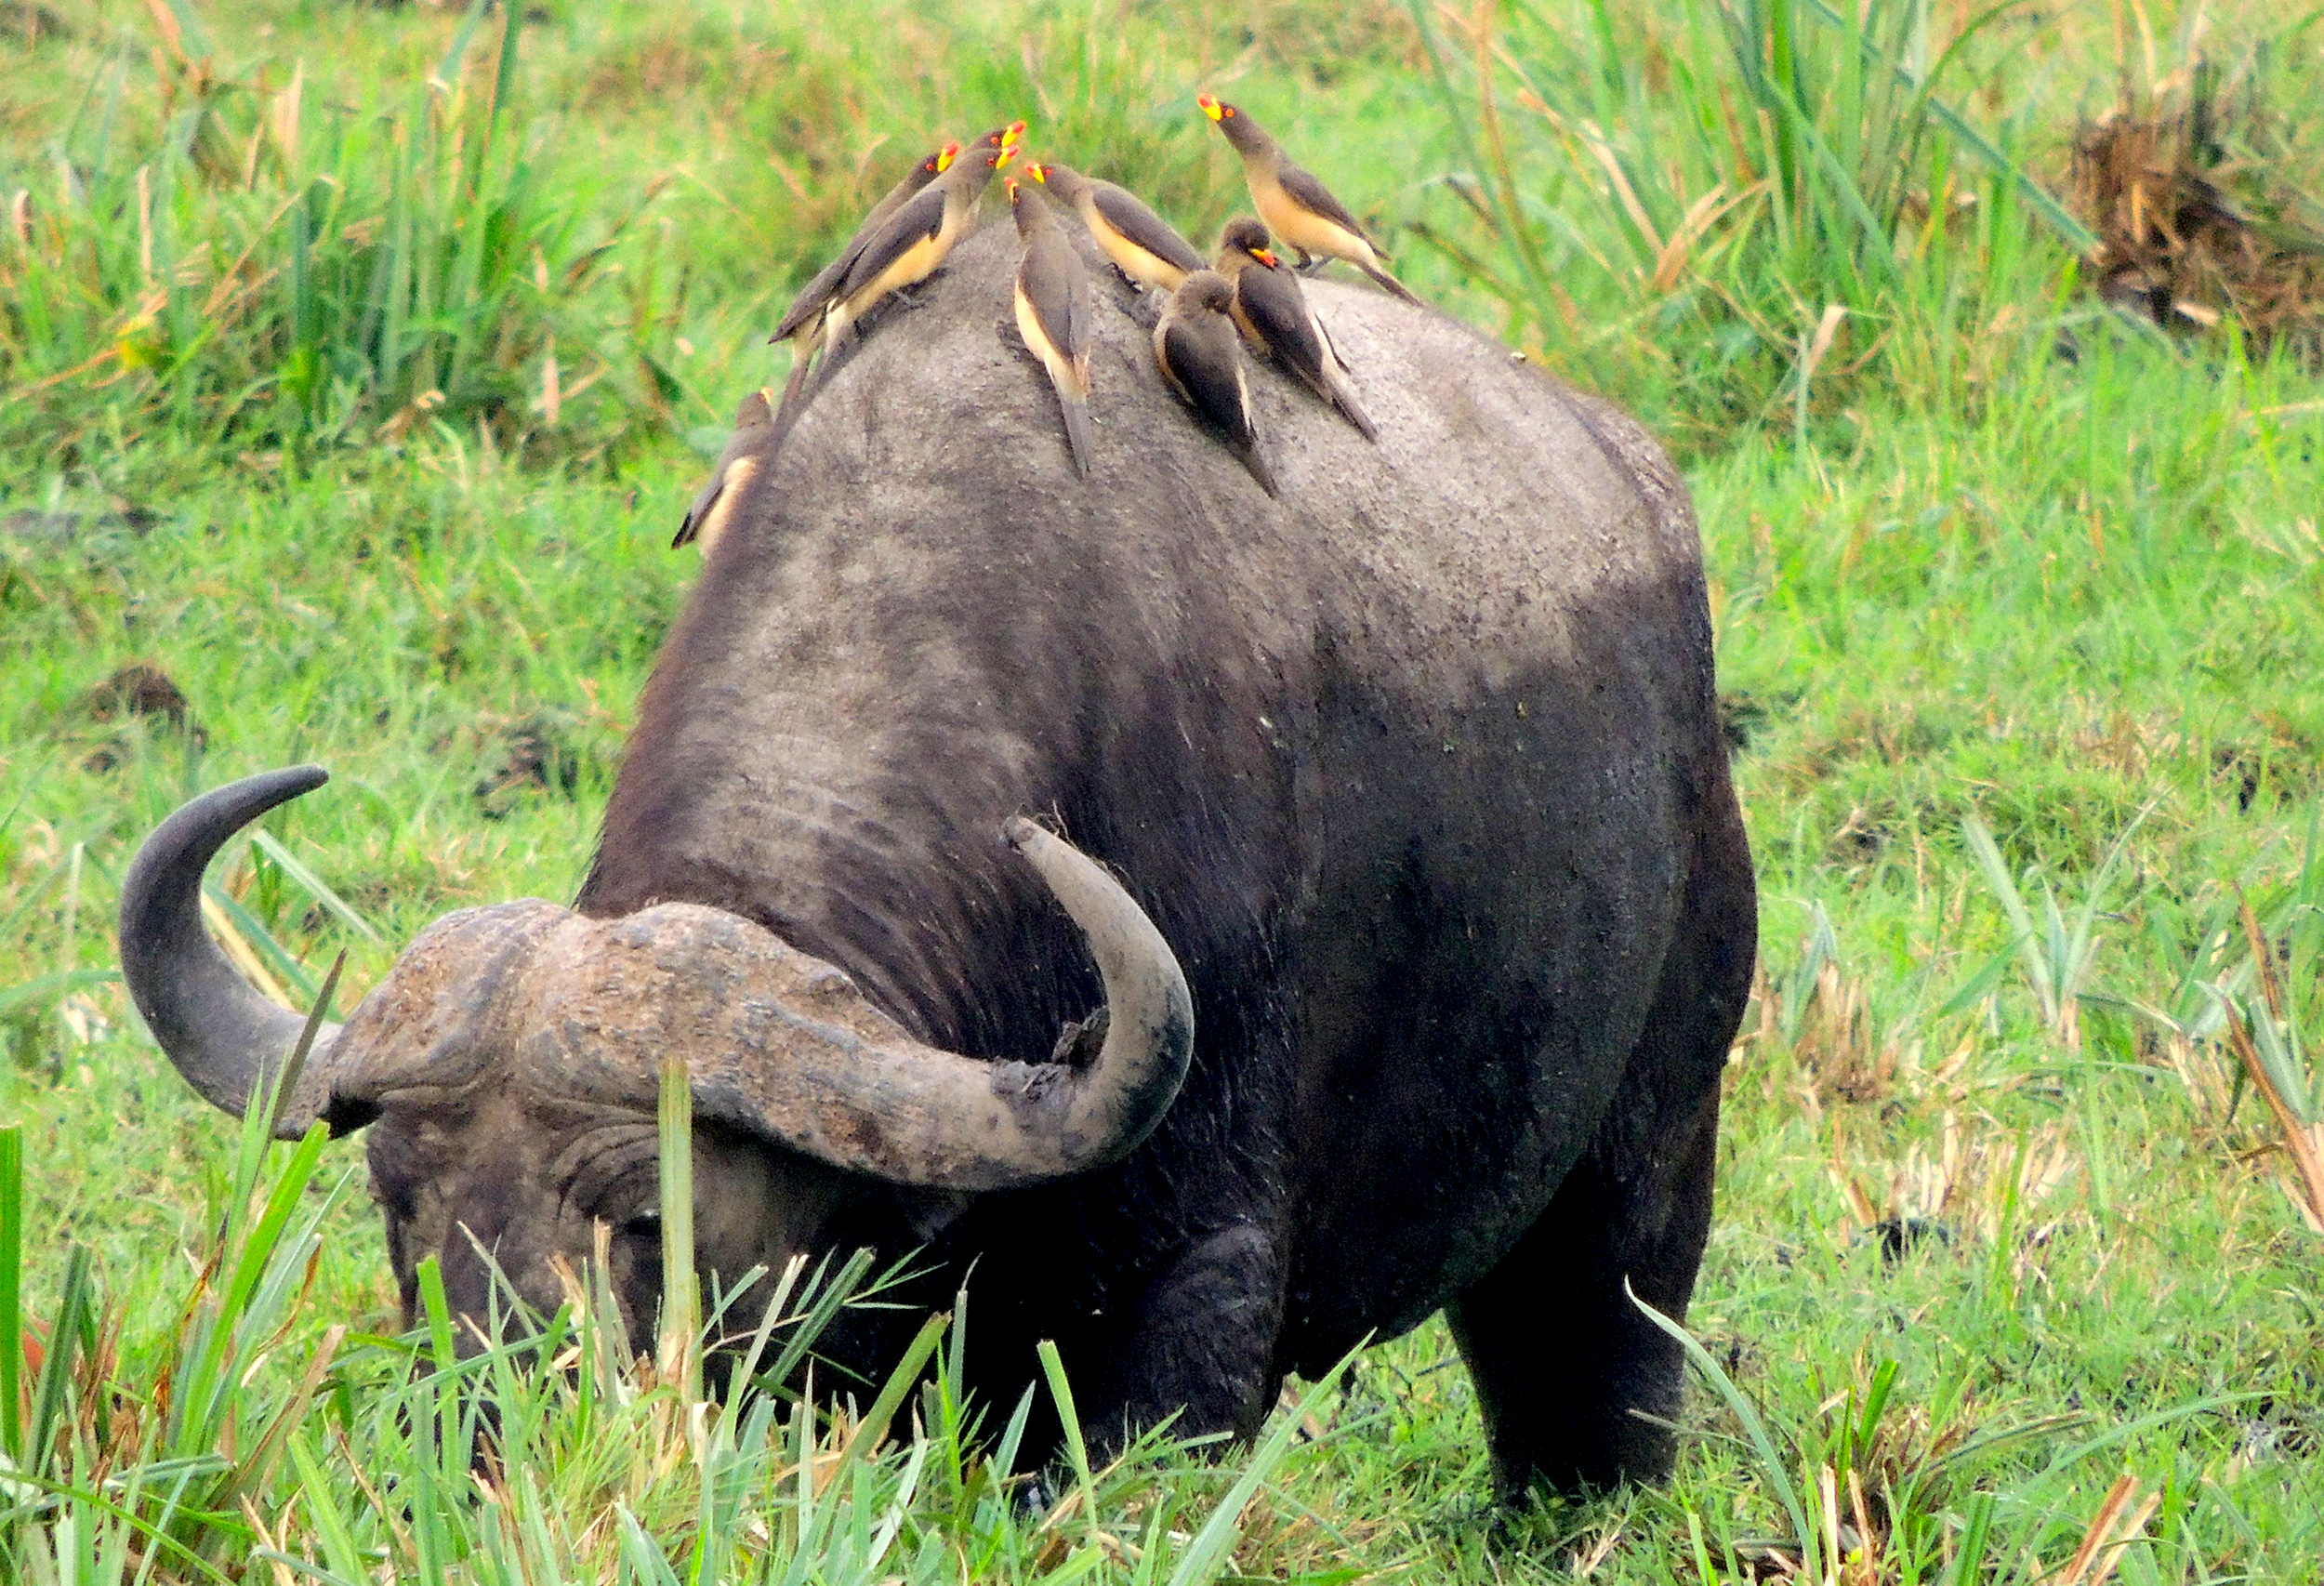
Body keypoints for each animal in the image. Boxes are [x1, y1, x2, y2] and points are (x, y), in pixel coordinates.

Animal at [122, 221, 1748, 1497]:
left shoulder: (1195, 1281)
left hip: (1651, 1143)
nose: (492, 1437)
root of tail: (1643, 491)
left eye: (652, 1219)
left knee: (1592, 1352)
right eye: (401, 1206)